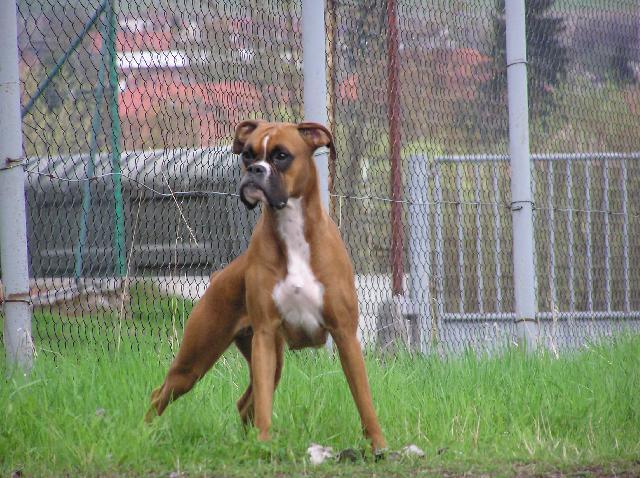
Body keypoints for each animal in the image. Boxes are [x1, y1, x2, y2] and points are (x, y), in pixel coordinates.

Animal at [145, 118, 384, 452]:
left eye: (281, 155)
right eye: (247, 154)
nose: (255, 170)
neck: (292, 229)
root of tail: (219, 276)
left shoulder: (345, 335)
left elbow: (364, 400)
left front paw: (380, 446)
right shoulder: (265, 335)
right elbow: (265, 406)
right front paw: (265, 442)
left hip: (269, 362)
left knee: (244, 402)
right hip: (194, 361)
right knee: (162, 394)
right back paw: (142, 435)